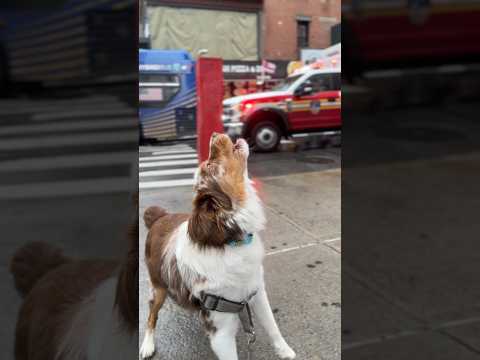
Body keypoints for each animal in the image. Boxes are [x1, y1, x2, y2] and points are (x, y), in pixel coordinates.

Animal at [140, 134, 296, 358]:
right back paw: (147, 344)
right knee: (151, 314)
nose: (214, 134)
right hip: (158, 287)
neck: (231, 244)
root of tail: (159, 217)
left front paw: (285, 351)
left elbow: (272, 327)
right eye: (209, 164)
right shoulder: (220, 334)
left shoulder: (256, 293)